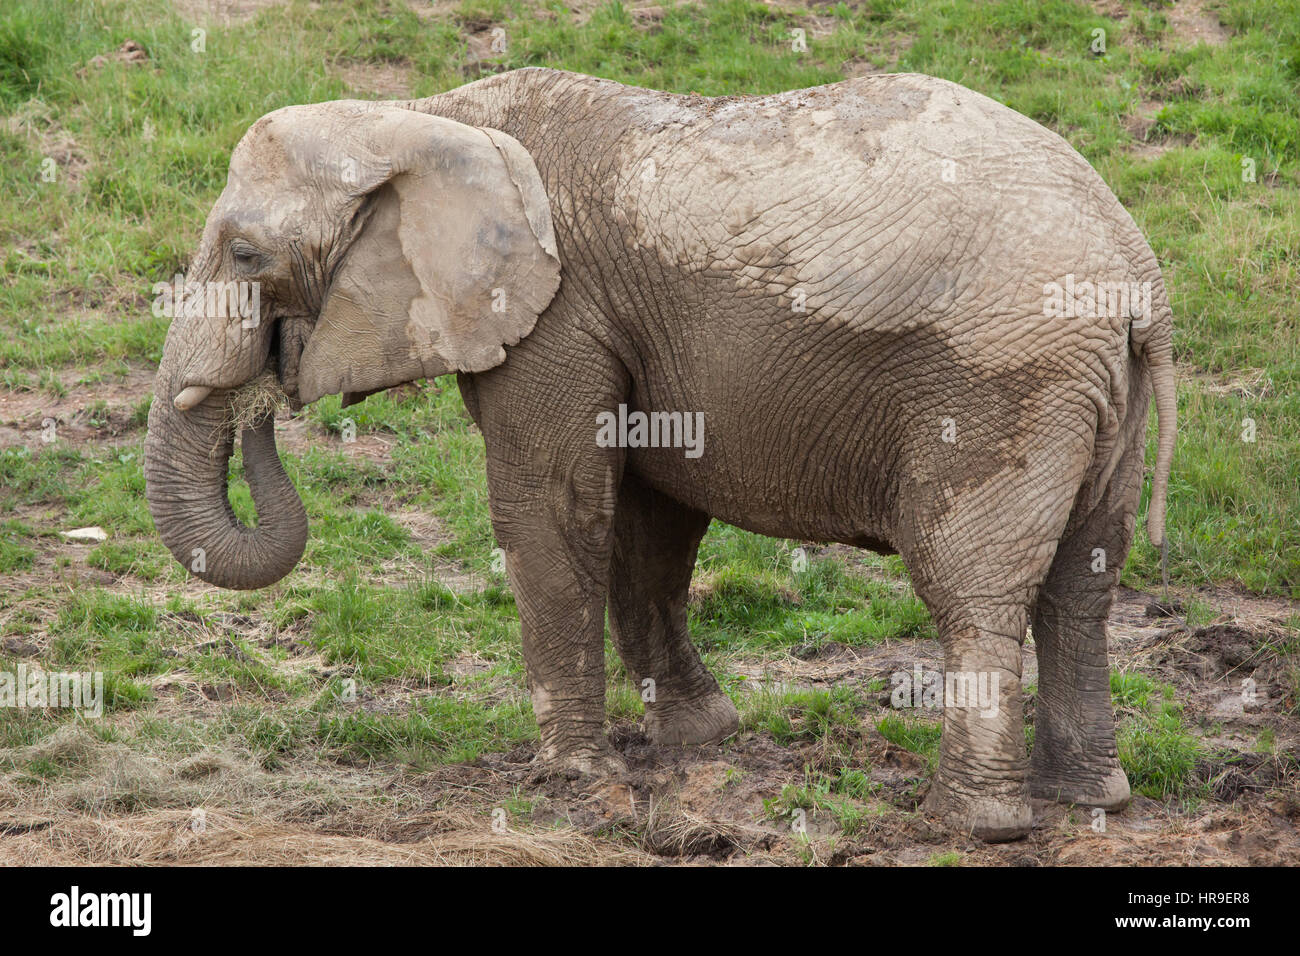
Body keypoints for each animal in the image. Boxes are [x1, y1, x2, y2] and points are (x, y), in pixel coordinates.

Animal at [144, 68, 1176, 842]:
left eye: (246, 256)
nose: (264, 395)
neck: (429, 115)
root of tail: (1138, 275)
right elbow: (649, 520)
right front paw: (697, 739)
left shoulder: (556, 313)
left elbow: (553, 507)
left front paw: (568, 777)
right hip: (1093, 393)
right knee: (1082, 586)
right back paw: (1090, 799)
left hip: (1000, 388)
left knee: (974, 586)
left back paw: (972, 825)